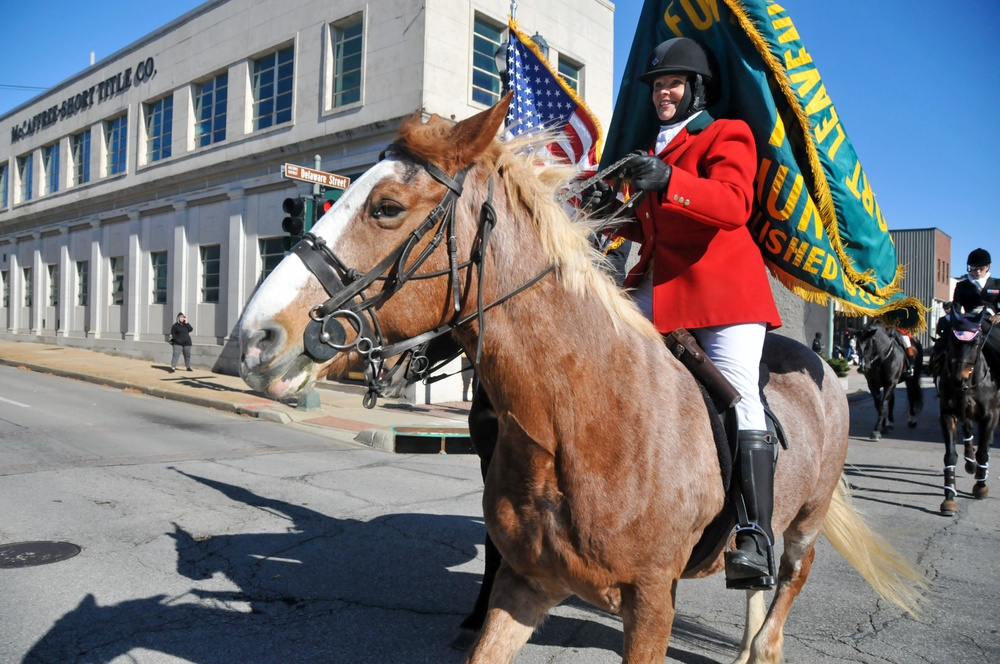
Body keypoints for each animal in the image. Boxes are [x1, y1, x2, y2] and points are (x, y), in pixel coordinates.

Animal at [236, 97, 920, 664]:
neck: (577, 419)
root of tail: (819, 365)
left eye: (386, 209)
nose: (253, 338)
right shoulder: (524, 585)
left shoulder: (651, 603)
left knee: (789, 579)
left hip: (805, 519)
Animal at [936, 310, 1000, 512]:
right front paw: (949, 498)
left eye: (976, 342)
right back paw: (970, 462)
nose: (958, 378)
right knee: (968, 431)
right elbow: (950, 455)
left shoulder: (991, 415)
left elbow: (983, 451)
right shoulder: (948, 413)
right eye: (952, 339)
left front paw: (981, 486)